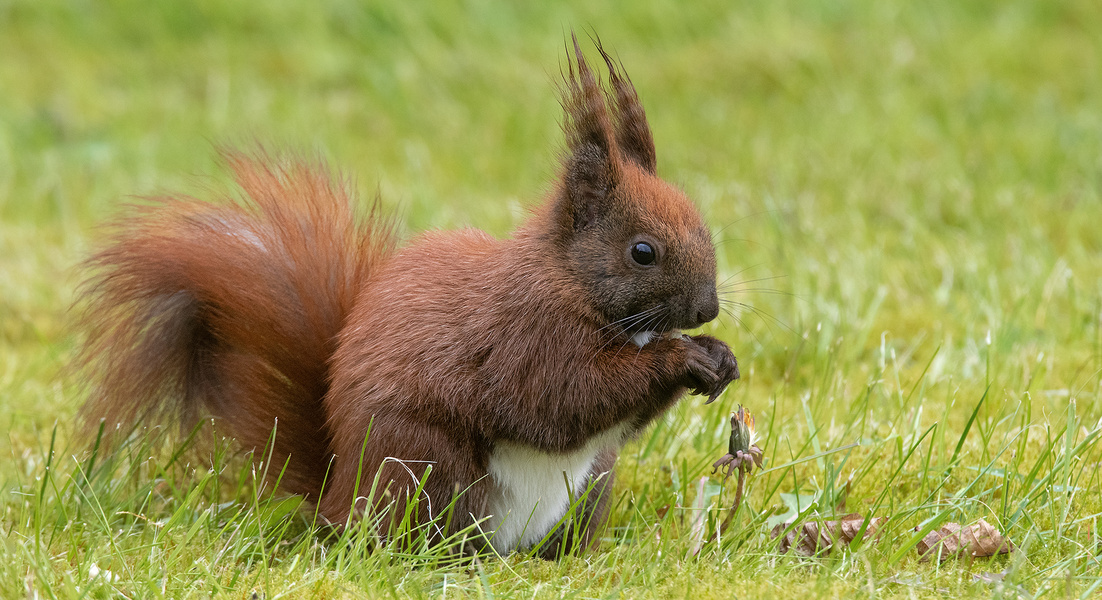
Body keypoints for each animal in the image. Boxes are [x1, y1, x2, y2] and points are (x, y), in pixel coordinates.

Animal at [79, 38, 740, 558]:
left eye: (702, 222)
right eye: (642, 251)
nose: (706, 309)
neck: (570, 280)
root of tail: (339, 497)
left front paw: (719, 355)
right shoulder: (523, 334)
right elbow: (557, 398)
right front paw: (682, 357)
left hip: (590, 484)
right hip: (427, 465)